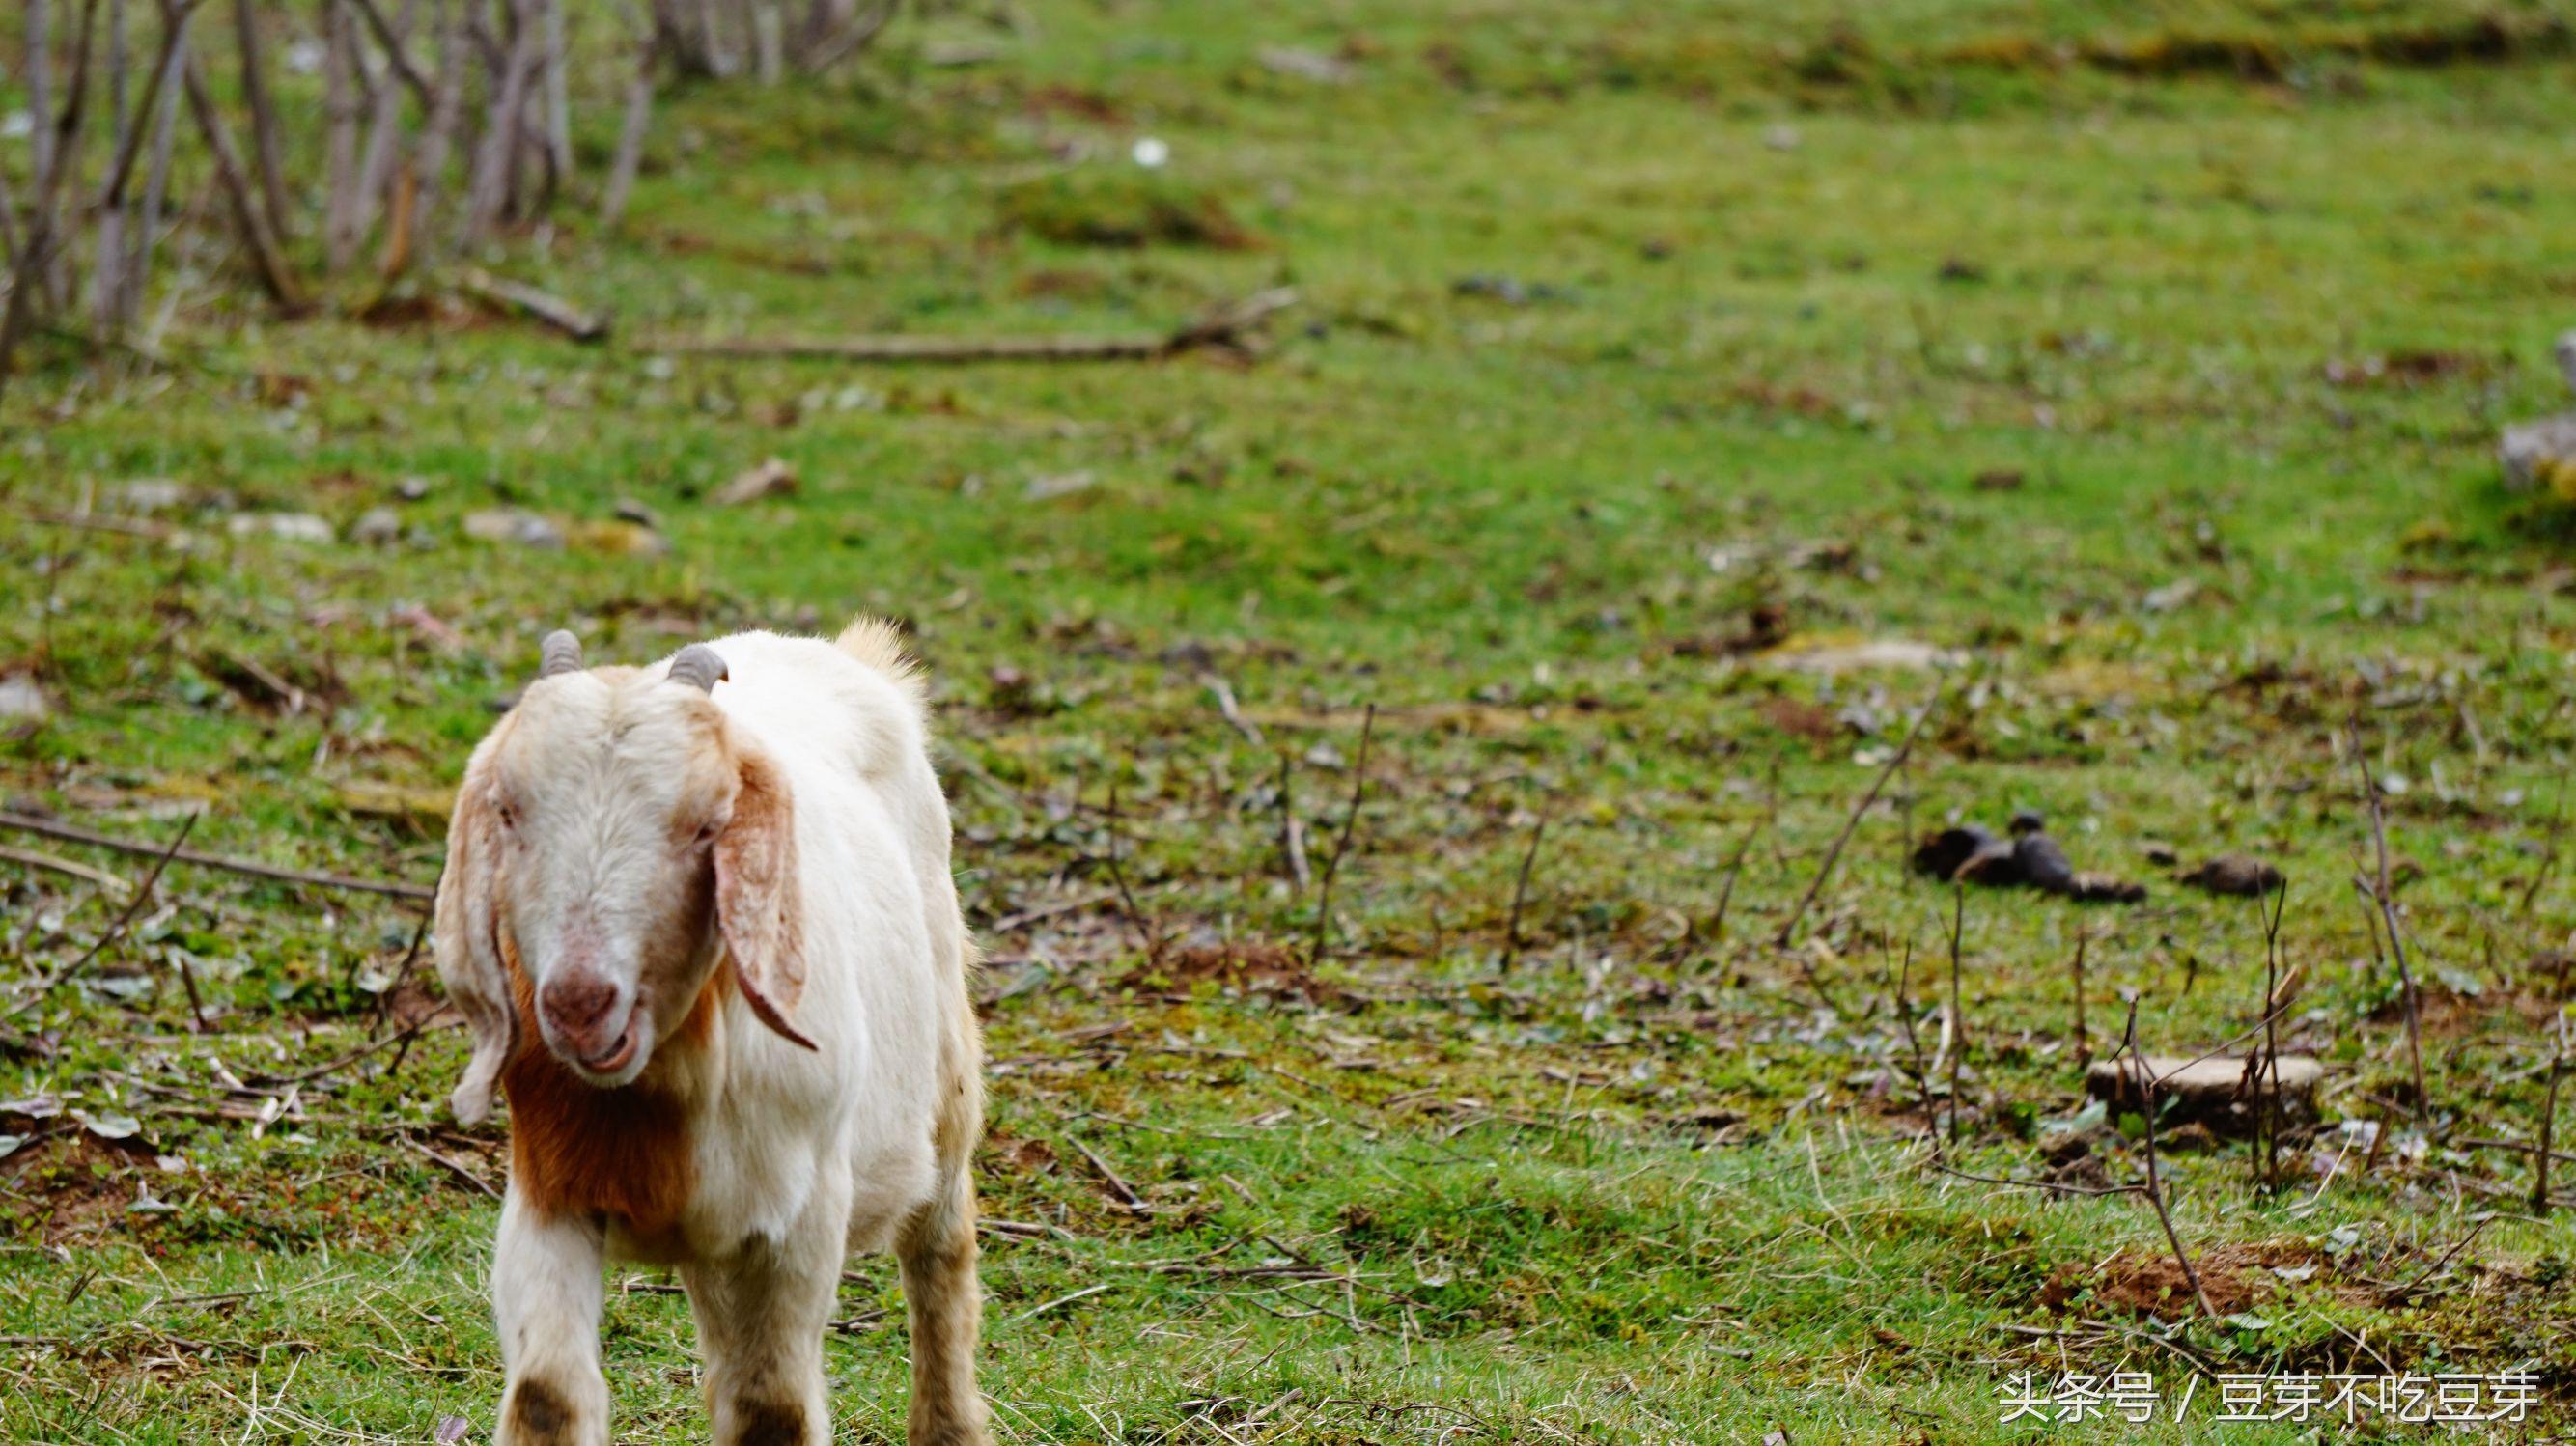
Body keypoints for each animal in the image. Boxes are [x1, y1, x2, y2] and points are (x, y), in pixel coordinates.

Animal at [433, 621, 984, 1443]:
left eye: (705, 826)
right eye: (509, 812)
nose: (579, 1003)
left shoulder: (803, 1215)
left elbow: (772, 1408)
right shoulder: (547, 1191)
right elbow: (547, 1394)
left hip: (944, 1071)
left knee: (939, 1249)